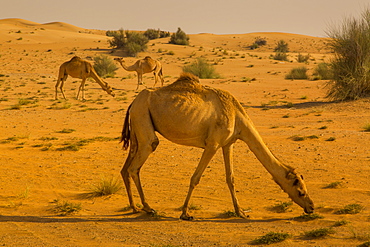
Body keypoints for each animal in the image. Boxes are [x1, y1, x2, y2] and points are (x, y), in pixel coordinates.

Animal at [120, 73, 314, 220]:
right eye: (300, 191)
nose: (311, 207)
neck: (237, 116)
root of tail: (133, 103)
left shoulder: (228, 144)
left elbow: (231, 178)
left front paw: (240, 212)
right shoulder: (212, 144)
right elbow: (195, 178)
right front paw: (185, 213)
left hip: (137, 128)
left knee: (125, 168)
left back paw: (134, 207)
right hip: (143, 118)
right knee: (137, 163)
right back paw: (148, 208)